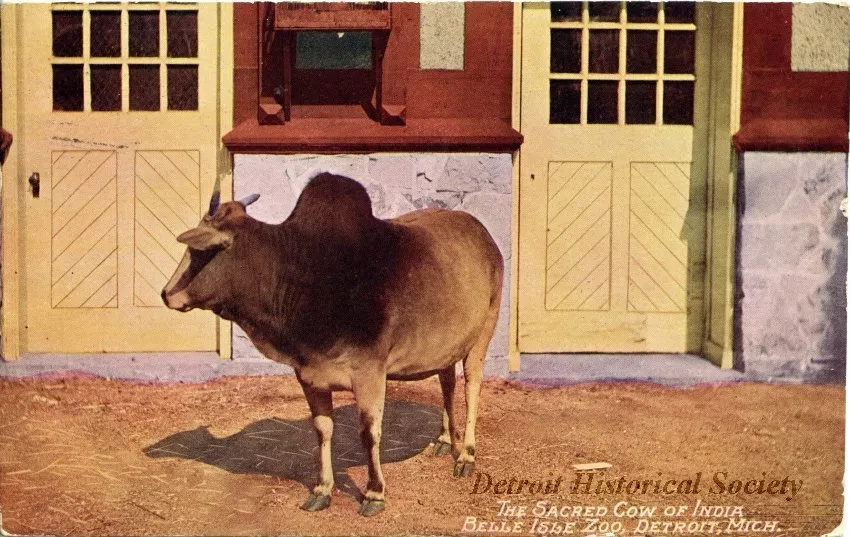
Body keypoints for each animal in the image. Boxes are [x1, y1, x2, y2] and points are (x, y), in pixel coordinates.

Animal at [161, 173, 503, 516]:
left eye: (201, 251)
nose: (166, 294)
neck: (303, 272)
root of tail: (484, 235)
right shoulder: (309, 376)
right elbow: (323, 429)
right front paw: (323, 488)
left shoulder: (370, 372)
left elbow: (369, 433)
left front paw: (374, 493)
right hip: (447, 346)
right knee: (447, 383)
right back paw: (445, 440)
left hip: (483, 333)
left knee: (472, 388)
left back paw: (466, 455)